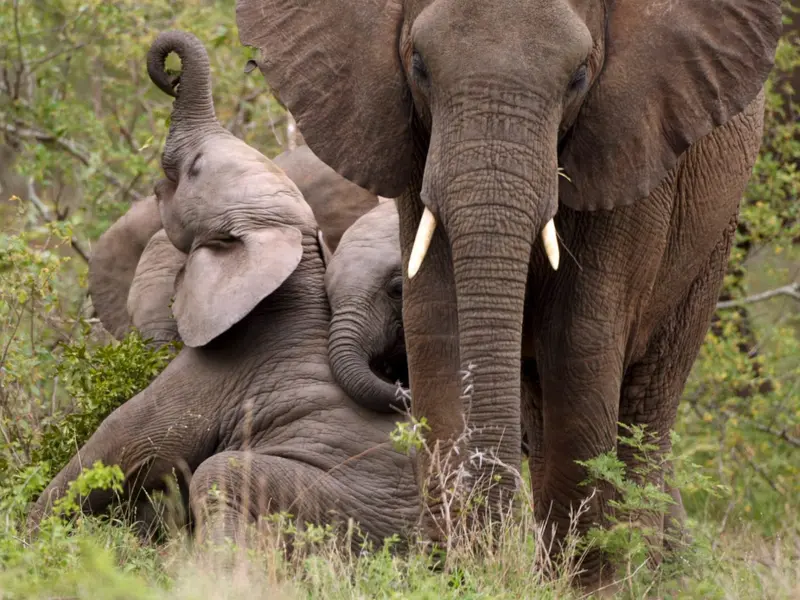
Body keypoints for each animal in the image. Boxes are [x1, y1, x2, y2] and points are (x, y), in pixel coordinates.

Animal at [30, 30, 418, 548]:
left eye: (195, 168)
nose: (170, 74)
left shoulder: (218, 367)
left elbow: (118, 444)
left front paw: (25, 533)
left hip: (350, 506)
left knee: (222, 474)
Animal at [236, 0, 783, 587]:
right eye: (419, 66)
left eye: (579, 77)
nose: (490, 548)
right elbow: (439, 327)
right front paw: (459, 571)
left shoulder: (631, 147)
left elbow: (580, 341)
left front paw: (581, 585)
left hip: (712, 239)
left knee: (646, 403)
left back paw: (648, 573)